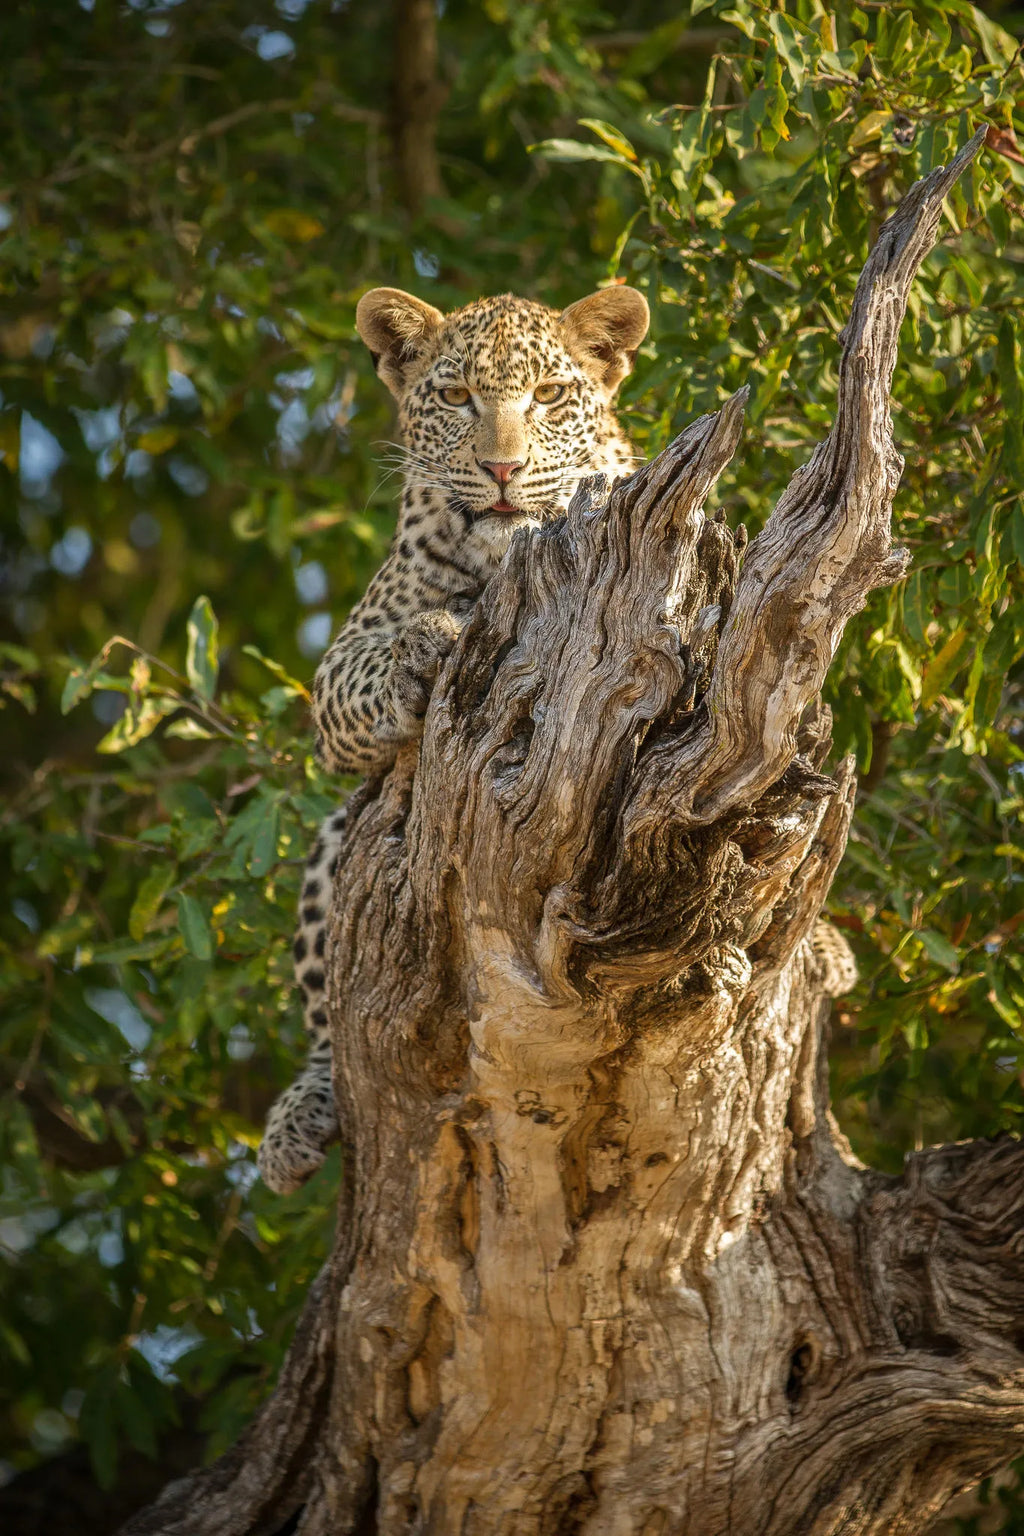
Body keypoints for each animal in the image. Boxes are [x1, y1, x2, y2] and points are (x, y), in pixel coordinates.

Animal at [256, 283, 651, 1194]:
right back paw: (300, 1116)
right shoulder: (339, 665)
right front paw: (426, 649)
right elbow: (364, 675)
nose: (503, 470)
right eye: (458, 397)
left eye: (549, 395)